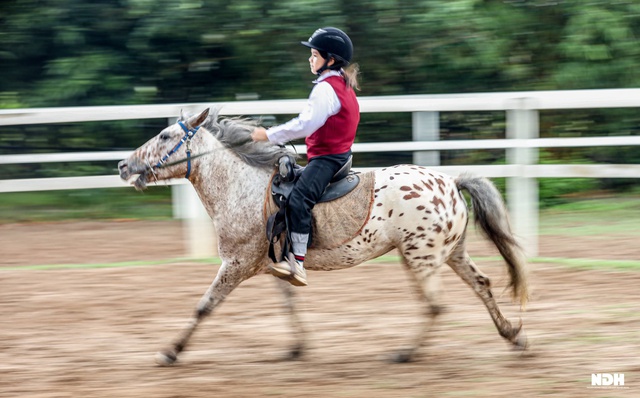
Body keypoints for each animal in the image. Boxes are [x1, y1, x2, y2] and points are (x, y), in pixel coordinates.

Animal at [117, 107, 528, 366]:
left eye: (166, 135)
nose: (123, 165)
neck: (241, 187)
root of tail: (451, 182)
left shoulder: (235, 265)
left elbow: (204, 306)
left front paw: (170, 352)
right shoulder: (269, 264)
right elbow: (288, 302)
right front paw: (297, 348)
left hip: (420, 258)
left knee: (435, 305)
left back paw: (405, 353)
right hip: (451, 253)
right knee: (482, 284)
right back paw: (513, 334)